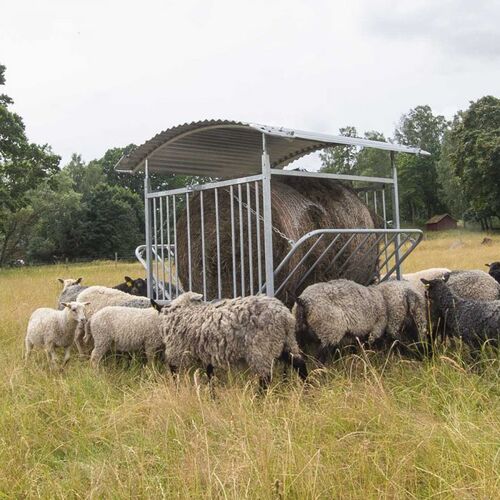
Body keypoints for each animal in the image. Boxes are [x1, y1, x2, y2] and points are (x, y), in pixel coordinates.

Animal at [154, 292, 306, 388]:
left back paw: (257, 401)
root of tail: (285, 316)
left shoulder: (177, 350)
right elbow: (210, 375)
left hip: (261, 348)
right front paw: (213, 398)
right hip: (285, 342)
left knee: (265, 379)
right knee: (299, 364)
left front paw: (177, 390)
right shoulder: (207, 352)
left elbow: (175, 373)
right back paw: (306, 391)